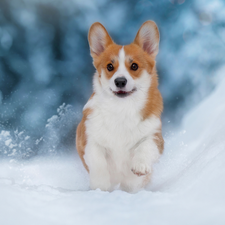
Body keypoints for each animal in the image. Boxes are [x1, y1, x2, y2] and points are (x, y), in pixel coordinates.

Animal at [75, 20, 163, 192]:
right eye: (110, 66)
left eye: (134, 66)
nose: (120, 81)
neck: (122, 108)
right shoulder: (89, 138)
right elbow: (97, 161)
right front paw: (100, 186)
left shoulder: (155, 136)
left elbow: (145, 146)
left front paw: (140, 166)